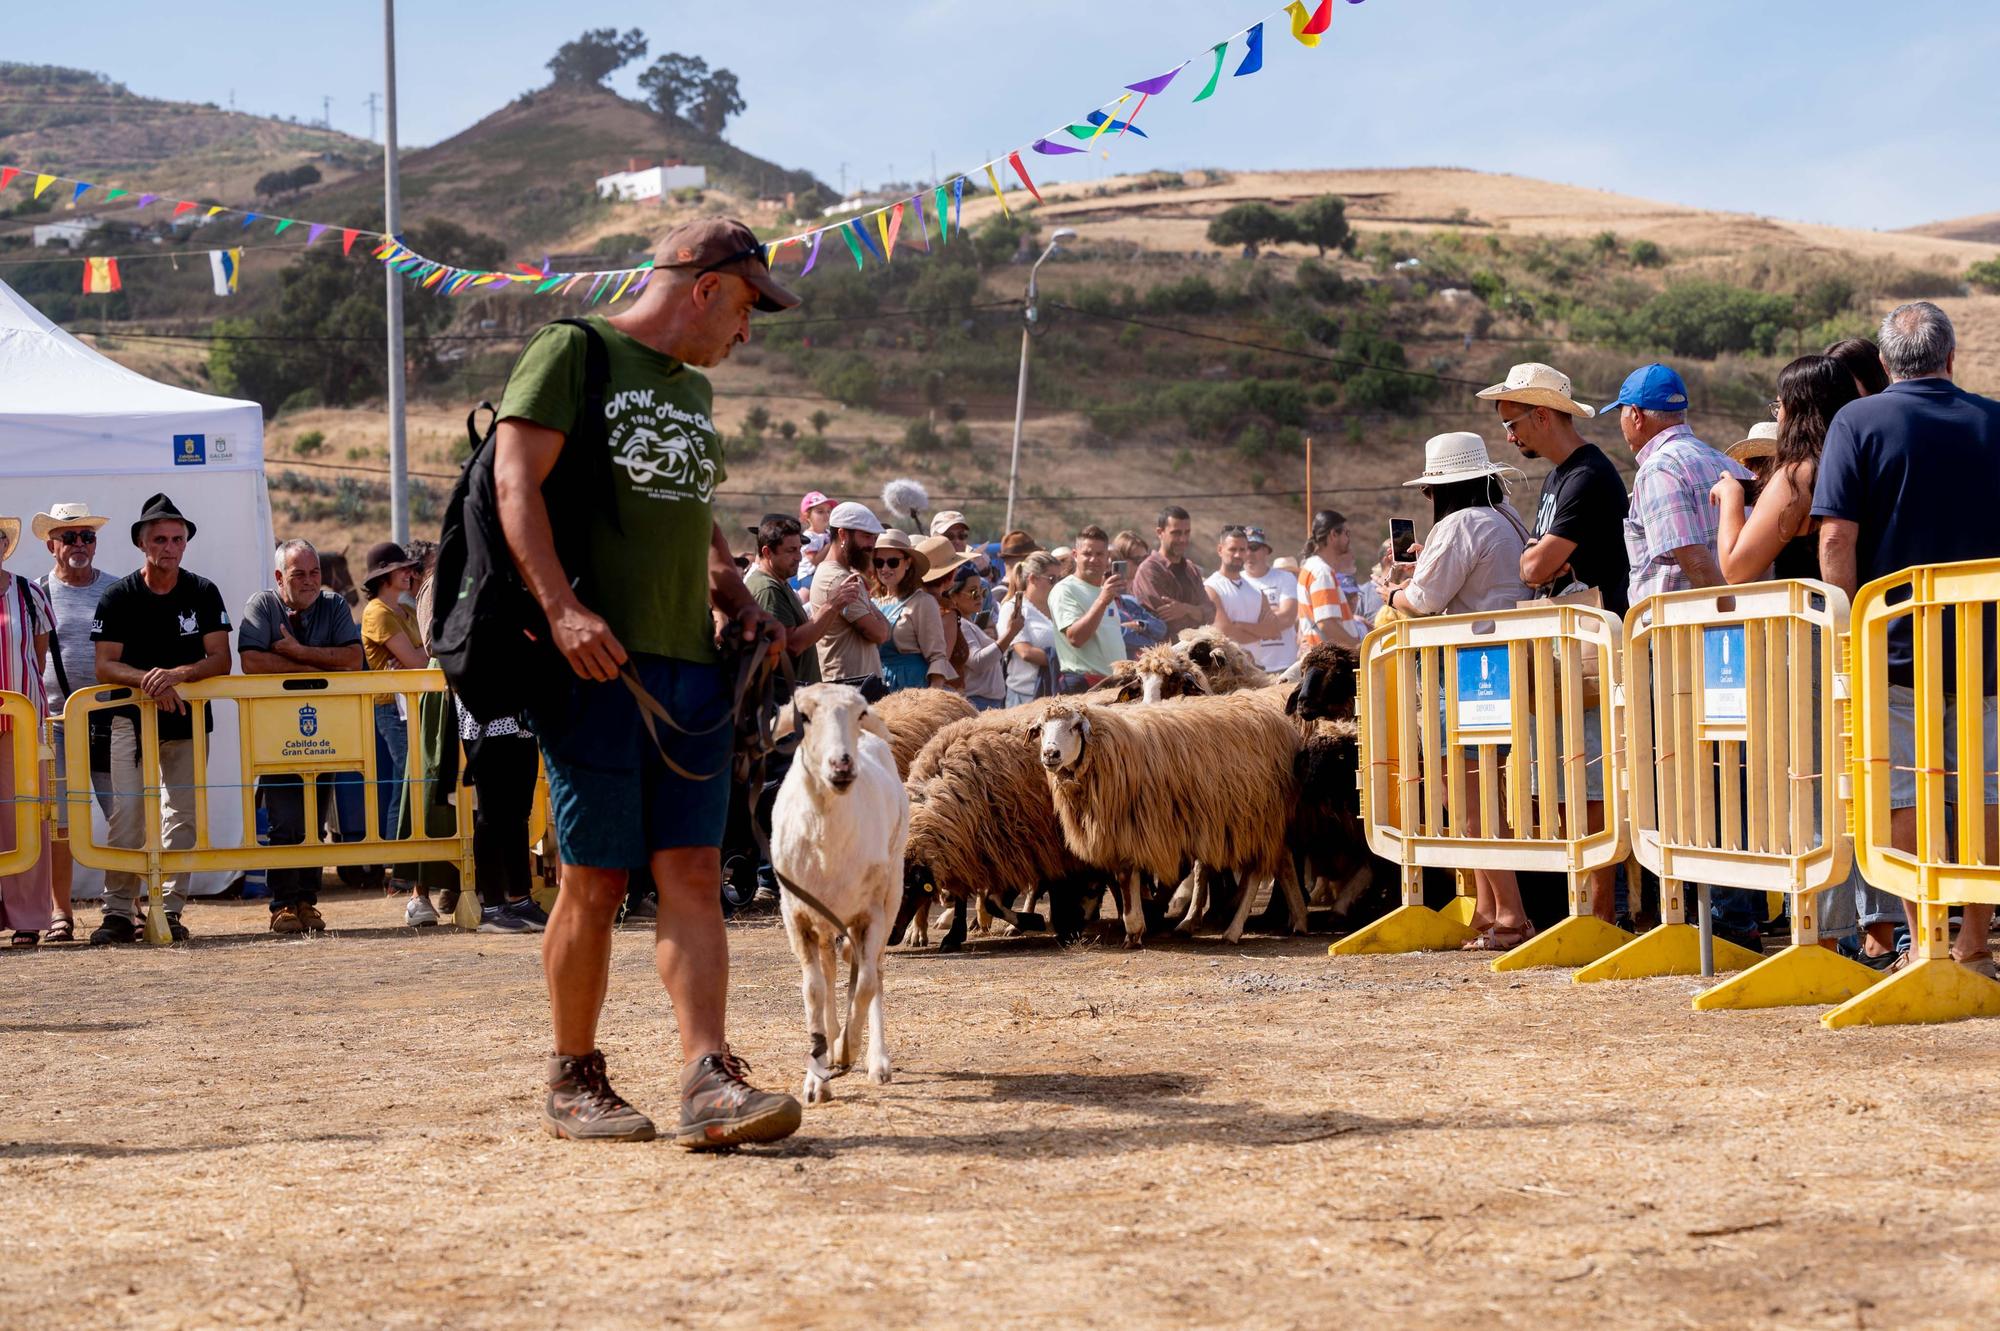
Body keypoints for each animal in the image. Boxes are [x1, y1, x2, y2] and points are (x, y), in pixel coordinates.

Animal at [768, 679, 912, 1103]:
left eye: (859, 712)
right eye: (804, 715)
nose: (842, 764)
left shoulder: (872, 914)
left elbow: (865, 984)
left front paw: (850, 1047)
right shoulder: (796, 915)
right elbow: (814, 990)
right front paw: (817, 1078)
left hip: (892, 891)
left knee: (872, 970)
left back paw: (874, 1058)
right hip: (826, 918)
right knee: (832, 969)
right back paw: (832, 1039)